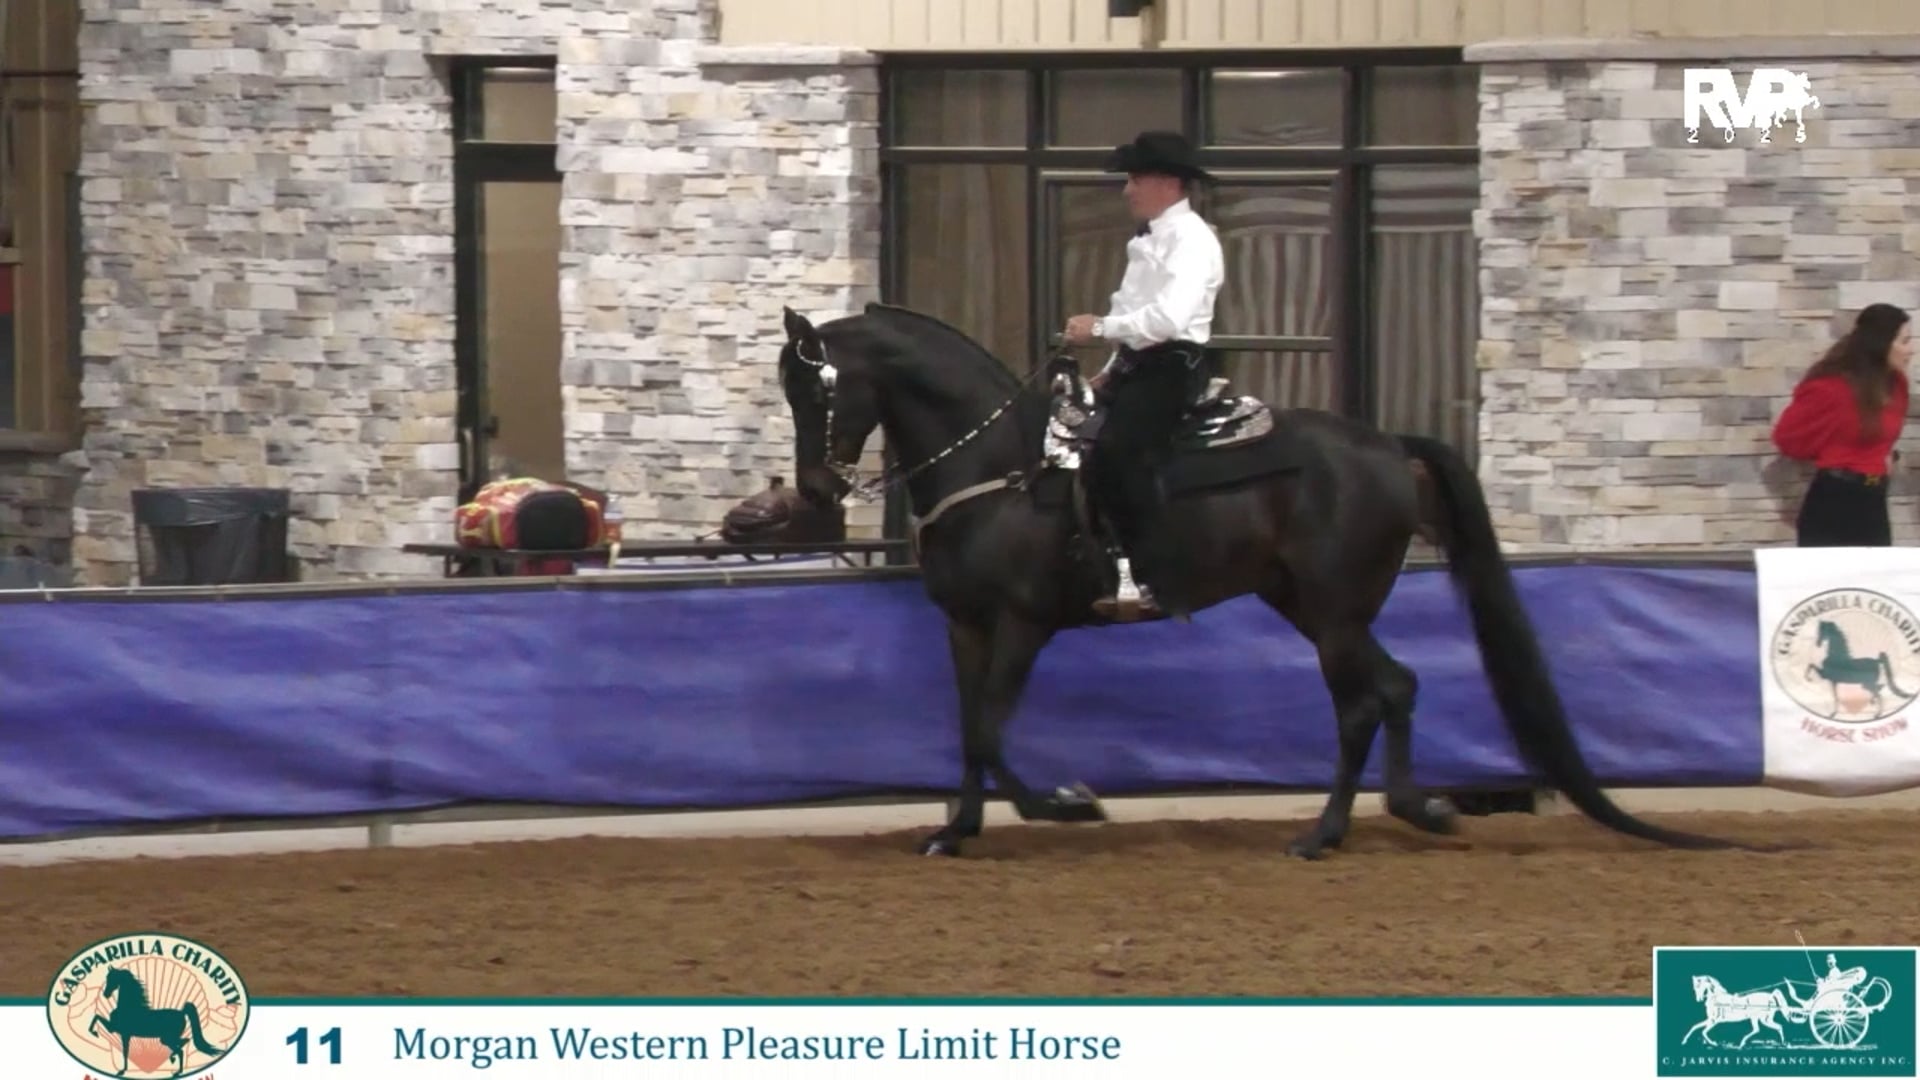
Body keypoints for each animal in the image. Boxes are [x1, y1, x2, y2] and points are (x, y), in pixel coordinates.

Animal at [87, 965, 226, 1077]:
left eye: (113, 978)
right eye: (108, 978)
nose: (106, 994)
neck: (129, 1007)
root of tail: (182, 1012)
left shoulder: (121, 1032)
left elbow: (124, 1051)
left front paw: (121, 1071)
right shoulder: (117, 1030)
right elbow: (97, 1017)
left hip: (167, 1038)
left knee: (181, 1048)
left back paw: (177, 1070)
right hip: (167, 1039)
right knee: (184, 1042)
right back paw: (174, 1061)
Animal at [772, 300, 1748, 859]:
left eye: (818, 390)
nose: (815, 493)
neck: (1001, 467)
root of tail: (1387, 446)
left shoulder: (1021, 624)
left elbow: (988, 730)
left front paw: (1067, 806)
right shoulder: (965, 625)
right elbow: (969, 730)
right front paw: (956, 830)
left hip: (1334, 608)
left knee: (1367, 698)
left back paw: (1329, 832)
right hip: (1309, 604)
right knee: (1394, 688)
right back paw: (1409, 810)